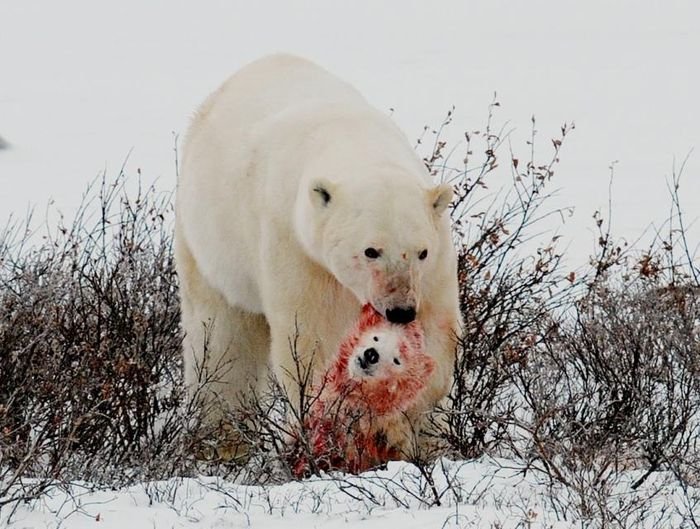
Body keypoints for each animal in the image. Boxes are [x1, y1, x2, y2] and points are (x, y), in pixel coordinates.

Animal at [174, 53, 460, 454]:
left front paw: (407, 421)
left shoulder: (435, 266)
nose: (401, 310)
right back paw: (222, 440)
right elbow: (313, 339)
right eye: (370, 251)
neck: (353, 140)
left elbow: (437, 330)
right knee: (221, 340)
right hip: (210, 245)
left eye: (420, 252)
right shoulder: (298, 248)